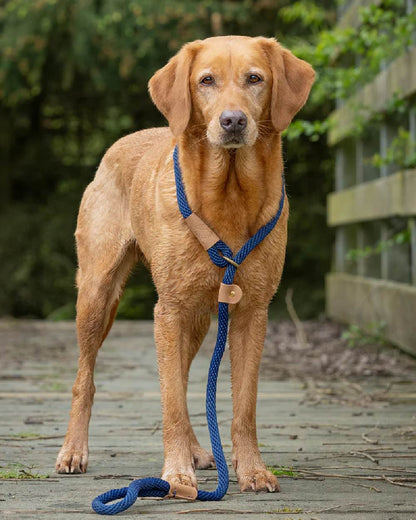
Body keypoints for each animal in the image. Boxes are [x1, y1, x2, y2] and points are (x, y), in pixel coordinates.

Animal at [56, 35, 316, 492]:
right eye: (206, 81)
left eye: (255, 79)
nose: (233, 121)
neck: (229, 192)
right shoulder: (168, 311)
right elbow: (172, 401)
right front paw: (175, 472)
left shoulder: (252, 312)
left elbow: (242, 406)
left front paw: (251, 469)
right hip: (97, 295)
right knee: (85, 379)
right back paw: (73, 450)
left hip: (195, 318)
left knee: (183, 375)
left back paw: (197, 450)